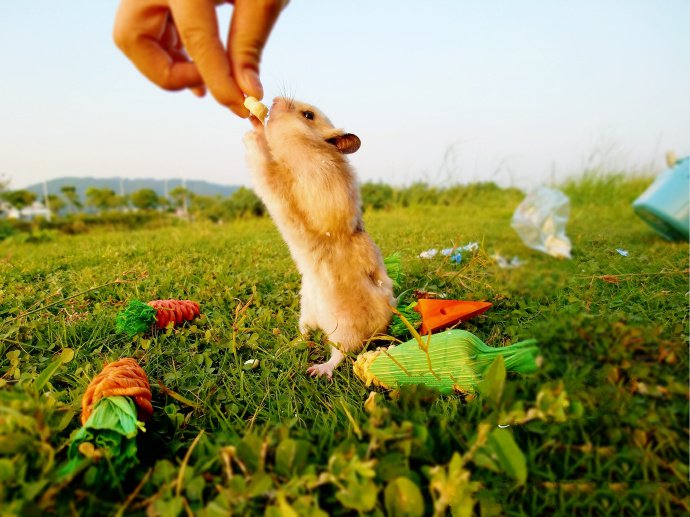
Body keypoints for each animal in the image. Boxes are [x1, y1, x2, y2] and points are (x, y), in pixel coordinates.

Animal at [243, 98, 392, 378]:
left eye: (308, 115)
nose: (274, 100)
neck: (307, 150)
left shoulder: (298, 186)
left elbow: (269, 170)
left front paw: (253, 129)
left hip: (345, 326)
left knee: (340, 353)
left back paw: (318, 370)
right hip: (307, 307)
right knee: (306, 333)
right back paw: (288, 345)